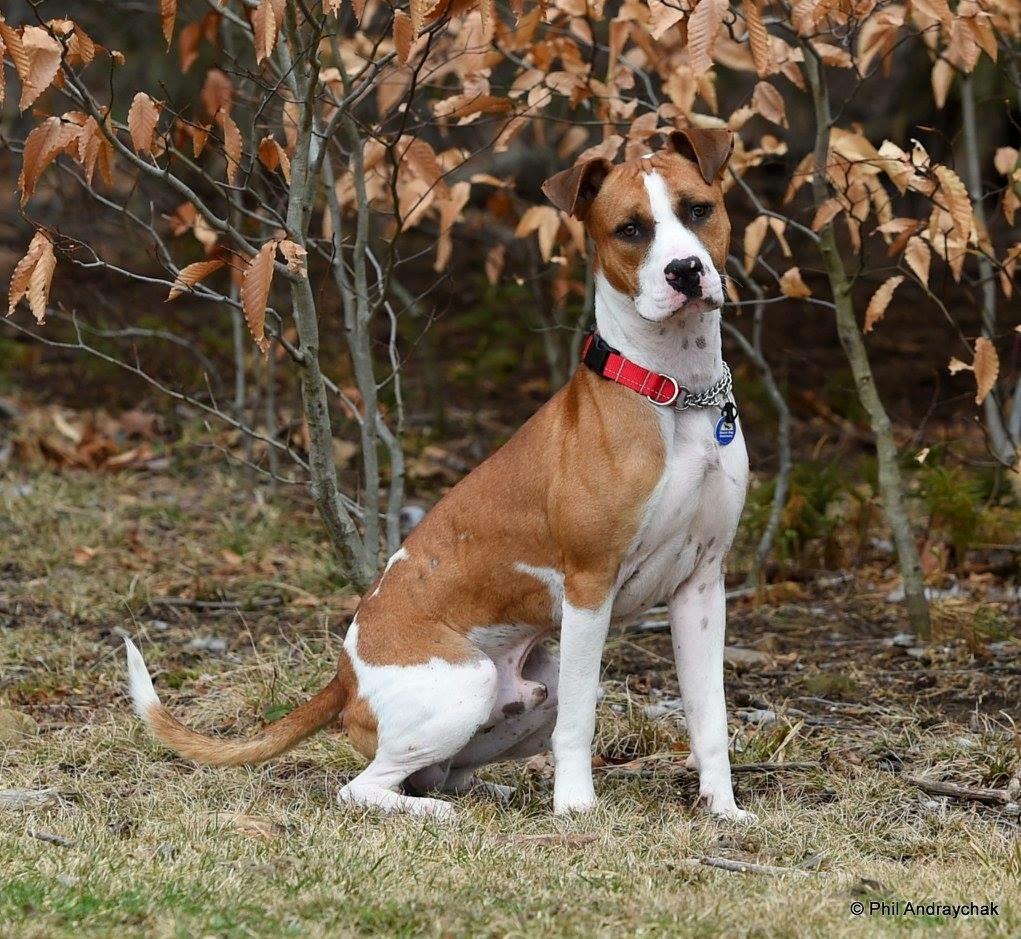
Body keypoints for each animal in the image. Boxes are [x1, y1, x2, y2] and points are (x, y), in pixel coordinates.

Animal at [125, 126, 759, 820]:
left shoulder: (702, 586)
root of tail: (343, 676)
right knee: (363, 787)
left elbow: (709, 716)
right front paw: (575, 810)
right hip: (469, 679)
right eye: (630, 229)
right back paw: (440, 814)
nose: (685, 270)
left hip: (530, 685)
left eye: (698, 210)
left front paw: (723, 809)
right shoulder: (590, 586)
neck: (675, 393)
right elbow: (581, 722)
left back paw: (485, 793)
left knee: (436, 772)